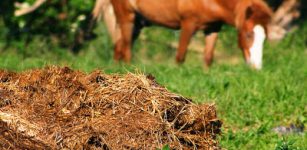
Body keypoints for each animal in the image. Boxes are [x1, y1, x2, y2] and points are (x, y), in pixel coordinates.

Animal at [95, 0, 274, 69]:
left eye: (264, 37)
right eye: (248, 35)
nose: (256, 66)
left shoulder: (212, 28)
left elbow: (208, 58)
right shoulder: (188, 24)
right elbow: (180, 56)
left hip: (138, 23)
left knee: (118, 47)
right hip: (127, 17)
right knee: (126, 50)